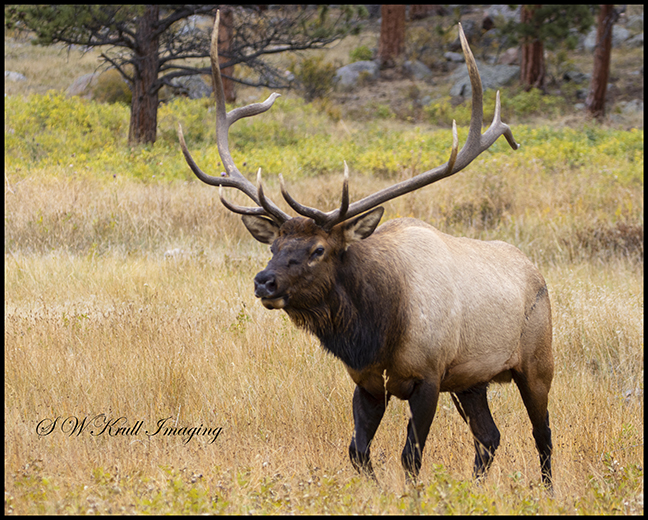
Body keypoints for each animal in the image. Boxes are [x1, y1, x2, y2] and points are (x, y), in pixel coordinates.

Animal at [178, 11, 553, 490]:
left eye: (319, 249)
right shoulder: (368, 381)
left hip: (536, 362)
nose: (265, 282)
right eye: (275, 245)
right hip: (472, 379)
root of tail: (535, 271)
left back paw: (547, 490)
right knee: (489, 437)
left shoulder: (429, 376)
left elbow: (410, 458)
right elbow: (358, 452)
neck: (378, 328)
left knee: (542, 436)